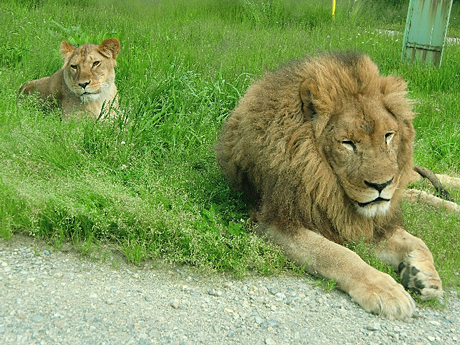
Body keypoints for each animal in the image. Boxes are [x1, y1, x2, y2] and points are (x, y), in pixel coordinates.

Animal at [217, 52, 444, 318]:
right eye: (347, 143)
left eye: (388, 135)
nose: (383, 184)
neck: (328, 185)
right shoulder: (275, 223)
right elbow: (339, 255)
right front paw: (386, 290)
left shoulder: (370, 224)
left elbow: (418, 242)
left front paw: (426, 277)